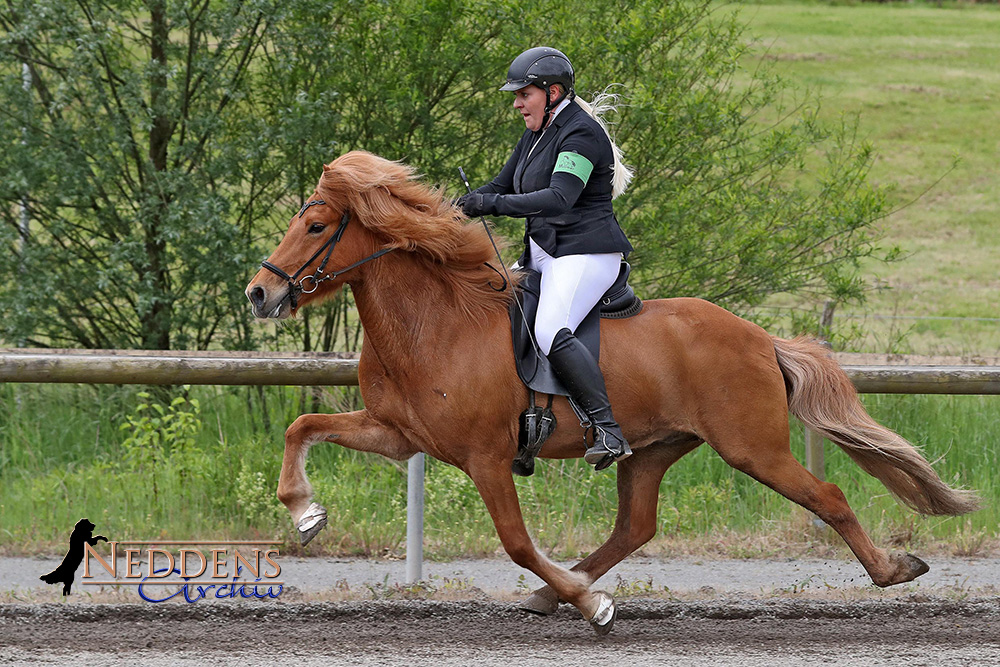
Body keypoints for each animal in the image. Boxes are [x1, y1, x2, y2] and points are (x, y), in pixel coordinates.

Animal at [246, 151, 980, 636]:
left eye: (317, 227)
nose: (260, 293)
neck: (435, 322)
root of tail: (760, 338)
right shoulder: (400, 434)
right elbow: (302, 425)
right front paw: (305, 513)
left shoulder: (486, 457)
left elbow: (516, 542)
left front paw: (593, 606)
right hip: (653, 447)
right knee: (636, 524)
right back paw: (559, 593)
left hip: (753, 447)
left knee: (826, 496)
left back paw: (893, 569)